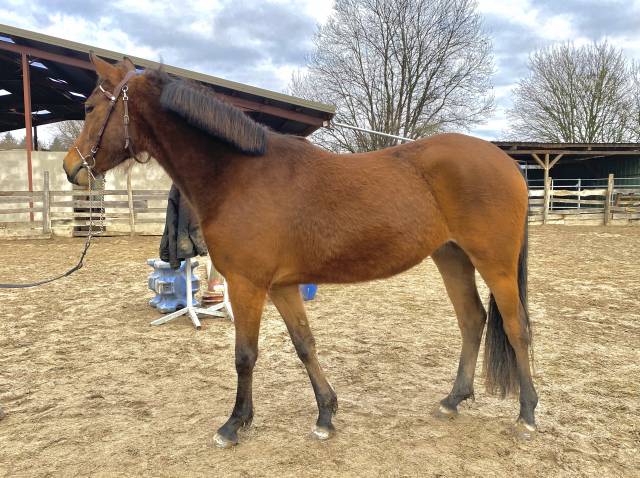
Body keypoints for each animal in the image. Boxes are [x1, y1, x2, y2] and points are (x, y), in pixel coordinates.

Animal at [63, 54, 537, 447]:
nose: (71, 168)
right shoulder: (282, 286)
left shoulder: (248, 285)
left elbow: (245, 356)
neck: (239, 175)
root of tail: (508, 162)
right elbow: (304, 343)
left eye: (89, 107)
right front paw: (326, 415)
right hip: (451, 256)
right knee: (472, 321)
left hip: (493, 263)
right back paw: (453, 399)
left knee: (516, 328)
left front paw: (234, 424)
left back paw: (527, 414)